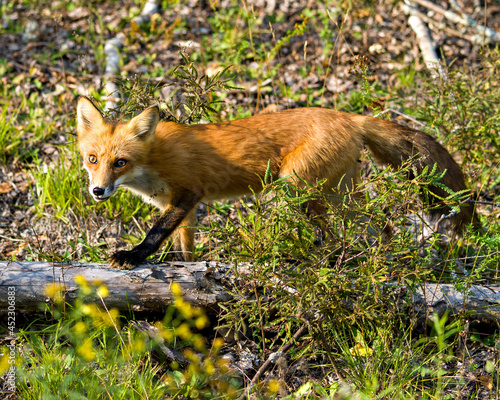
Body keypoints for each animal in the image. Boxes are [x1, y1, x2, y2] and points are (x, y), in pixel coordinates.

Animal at [76, 96, 478, 268]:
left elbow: (155, 233)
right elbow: (182, 249)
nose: (98, 191)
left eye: (120, 162)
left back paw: (316, 262)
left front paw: (132, 256)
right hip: (339, 196)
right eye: (92, 159)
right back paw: (374, 261)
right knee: (383, 226)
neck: (153, 161)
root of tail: (349, 116)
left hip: (297, 189)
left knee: (333, 236)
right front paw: (182, 268)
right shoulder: (179, 207)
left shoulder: (188, 192)